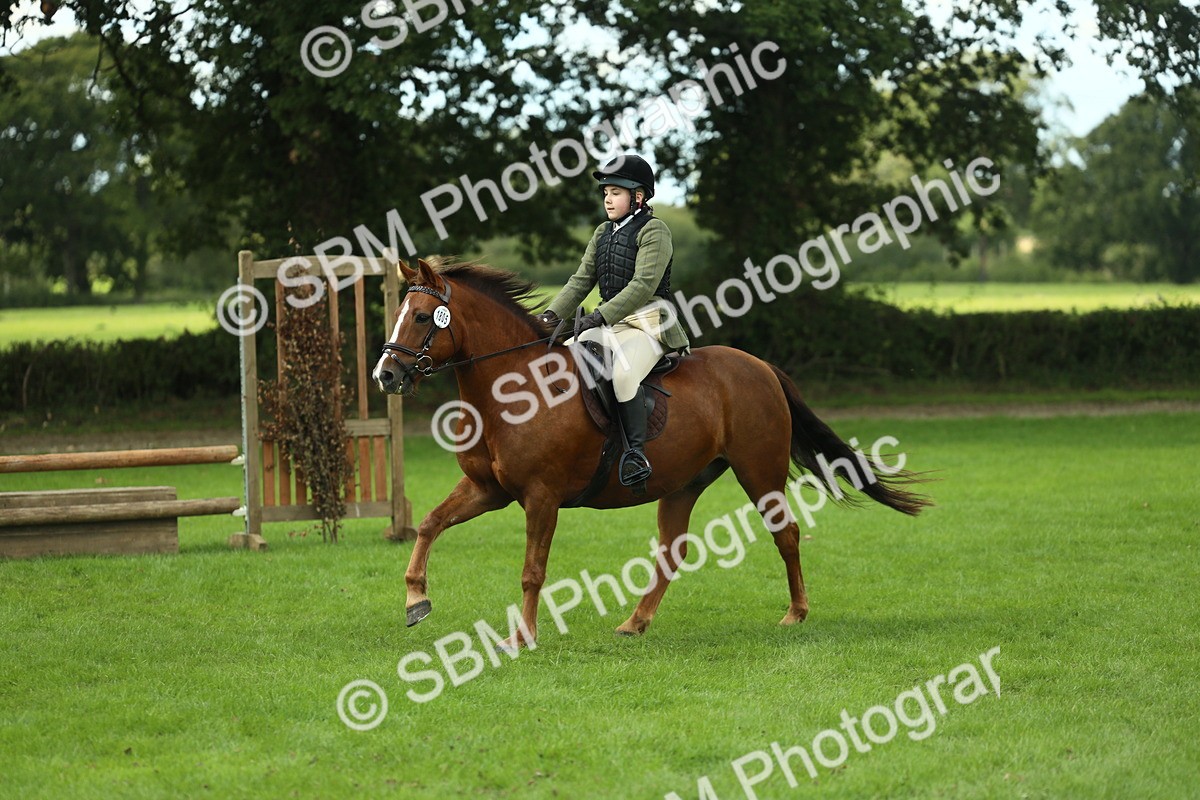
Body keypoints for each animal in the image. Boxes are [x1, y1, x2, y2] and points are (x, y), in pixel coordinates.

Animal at [373, 257, 931, 649]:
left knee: (786, 533)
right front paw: (416, 600)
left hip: (759, 471)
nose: (386, 375)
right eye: (399, 314)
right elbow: (429, 524)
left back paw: (795, 613)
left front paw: (522, 636)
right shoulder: (488, 489)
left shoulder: (541, 497)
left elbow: (533, 569)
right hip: (683, 483)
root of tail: (760, 367)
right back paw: (635, 622)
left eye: (420, 317)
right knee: (672, 550)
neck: (513, 389)